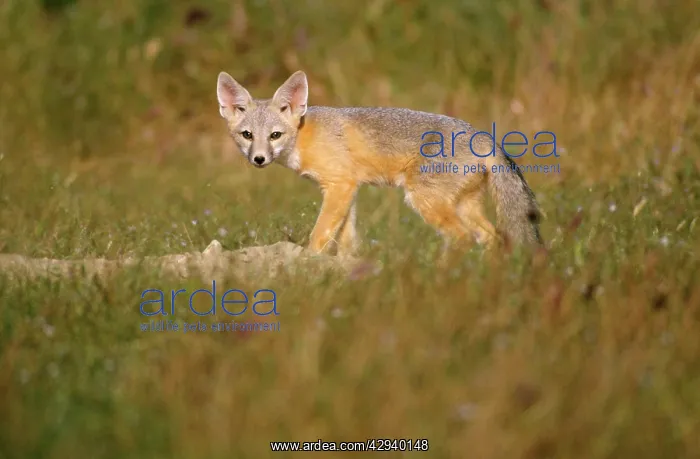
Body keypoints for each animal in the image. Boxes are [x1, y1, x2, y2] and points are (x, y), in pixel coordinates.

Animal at [216, 70, 542, 256]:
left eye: (275, 135)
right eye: (247, 135)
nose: (258, 159)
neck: (305, 135)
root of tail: (484, 136)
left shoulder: (340, 186)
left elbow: (320, 235)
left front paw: (308, 265)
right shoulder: (347, 190)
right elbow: (346, 241)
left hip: (425, 201)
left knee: (462, 238)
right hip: (463, 206)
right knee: (493, 237)